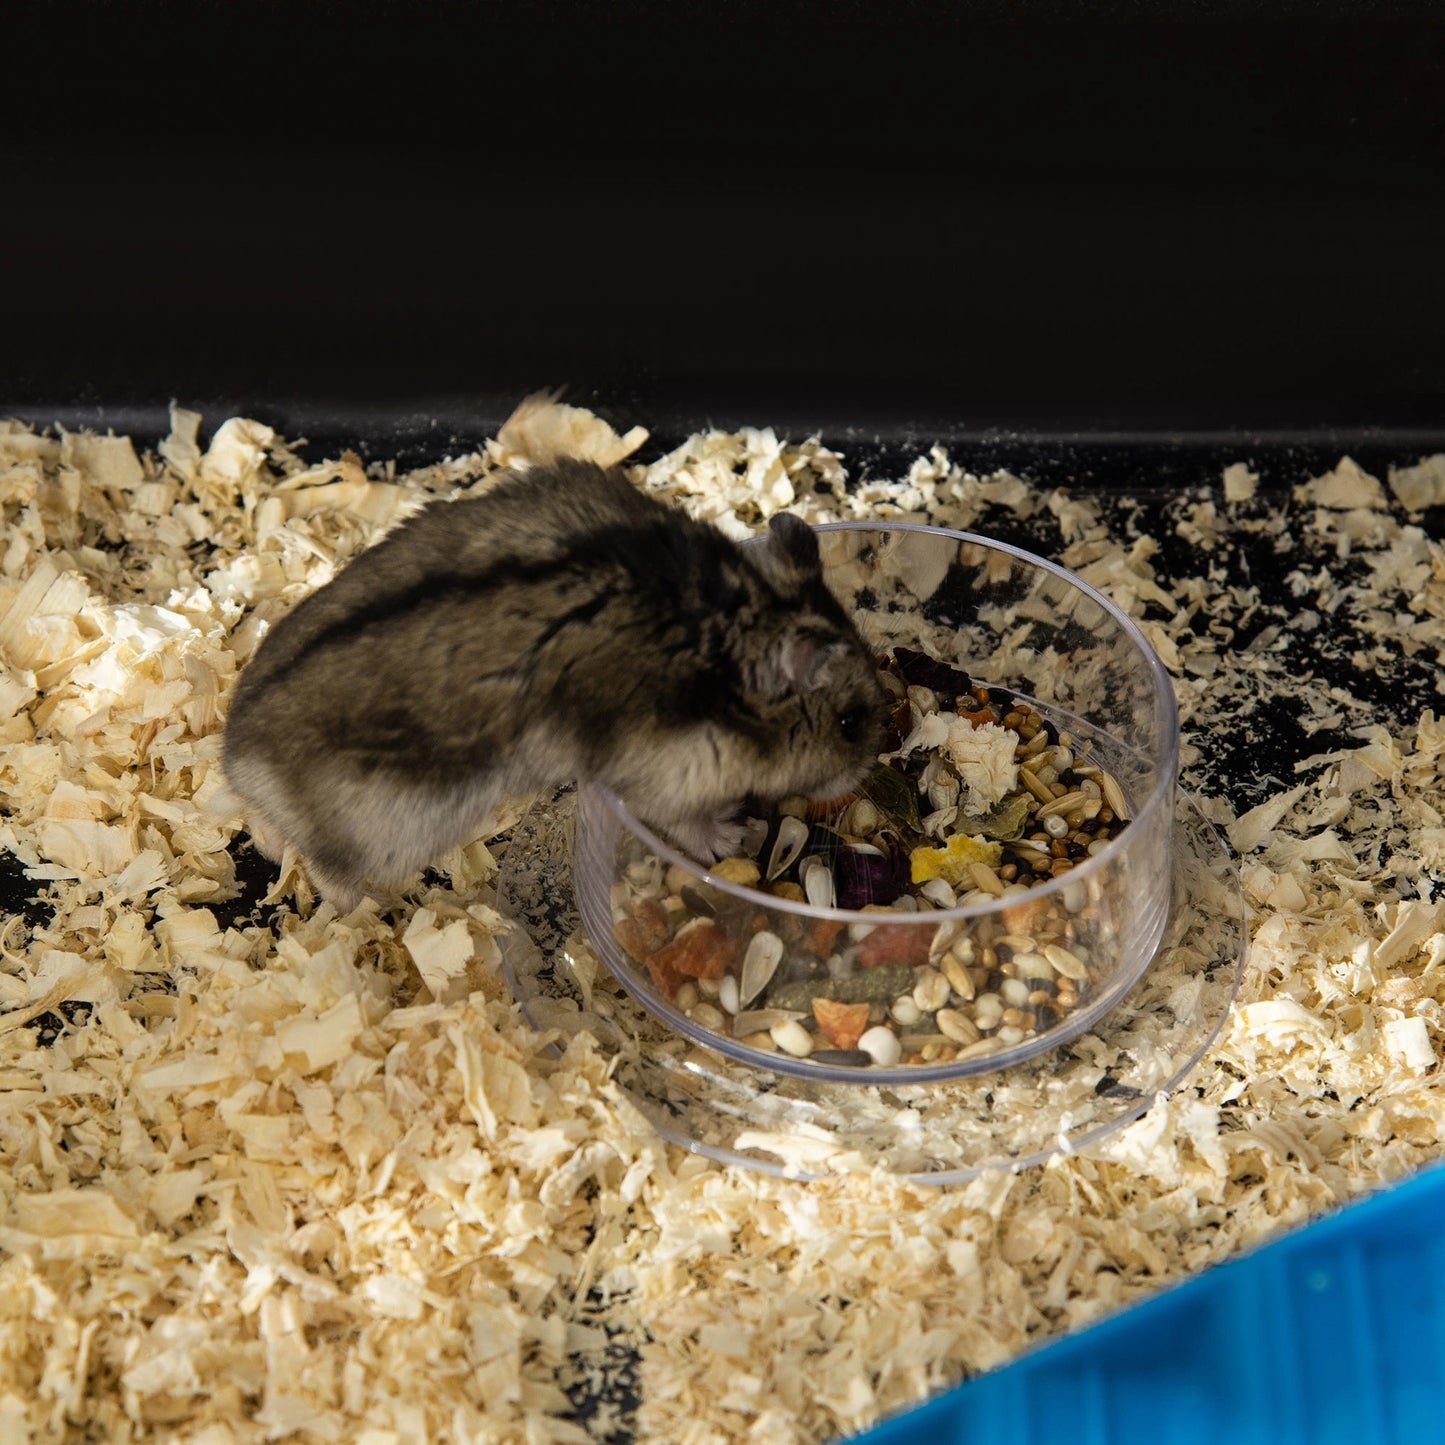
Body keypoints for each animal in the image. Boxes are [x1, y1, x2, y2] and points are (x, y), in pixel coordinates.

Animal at [222, 457, 888, 910]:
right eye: (851, 723)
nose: (866, 776)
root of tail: (235, 757)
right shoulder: (669, 774)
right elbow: (689, 825)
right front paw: (732, 833)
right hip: (383, 830)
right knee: (327, 871)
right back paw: (378, 907)